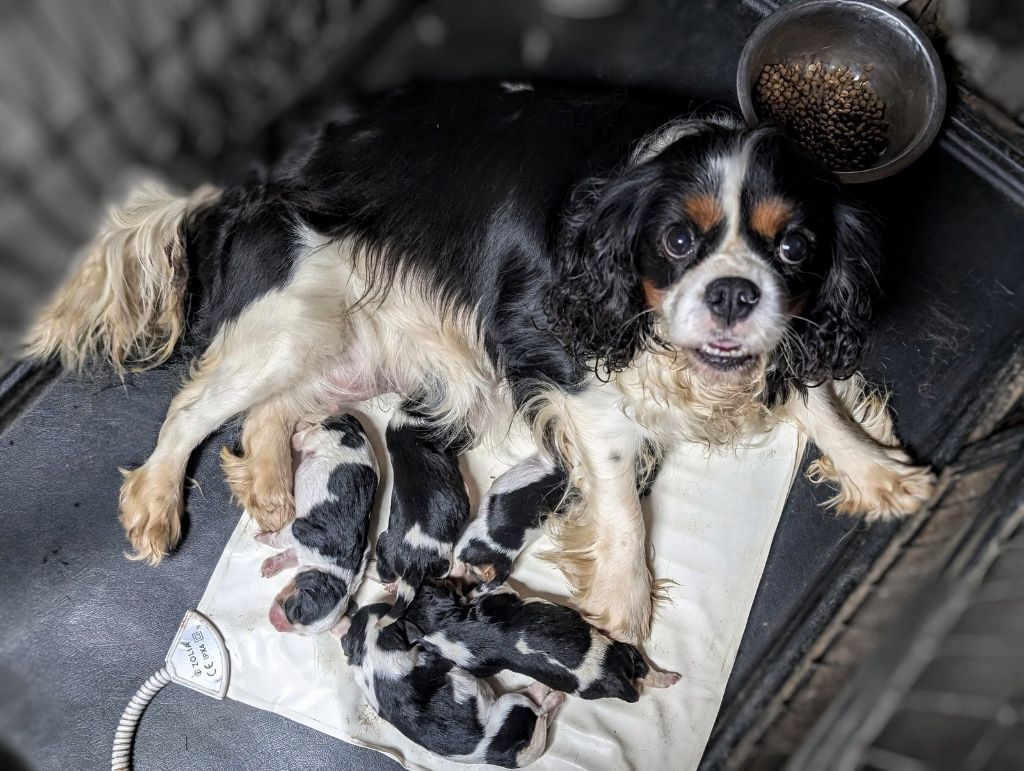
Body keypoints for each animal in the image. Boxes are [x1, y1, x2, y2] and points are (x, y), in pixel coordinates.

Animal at [258, 415, 378, 630]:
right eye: (298, 609)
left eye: (301, 634)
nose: (278, 625)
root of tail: (353, 424)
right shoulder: (298, 529)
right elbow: (277, 540)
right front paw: (258, 537)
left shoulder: (302, 552)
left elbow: (289, 556)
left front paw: (267, 569)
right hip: (319, 437)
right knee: (301, 436)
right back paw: (296, 427)